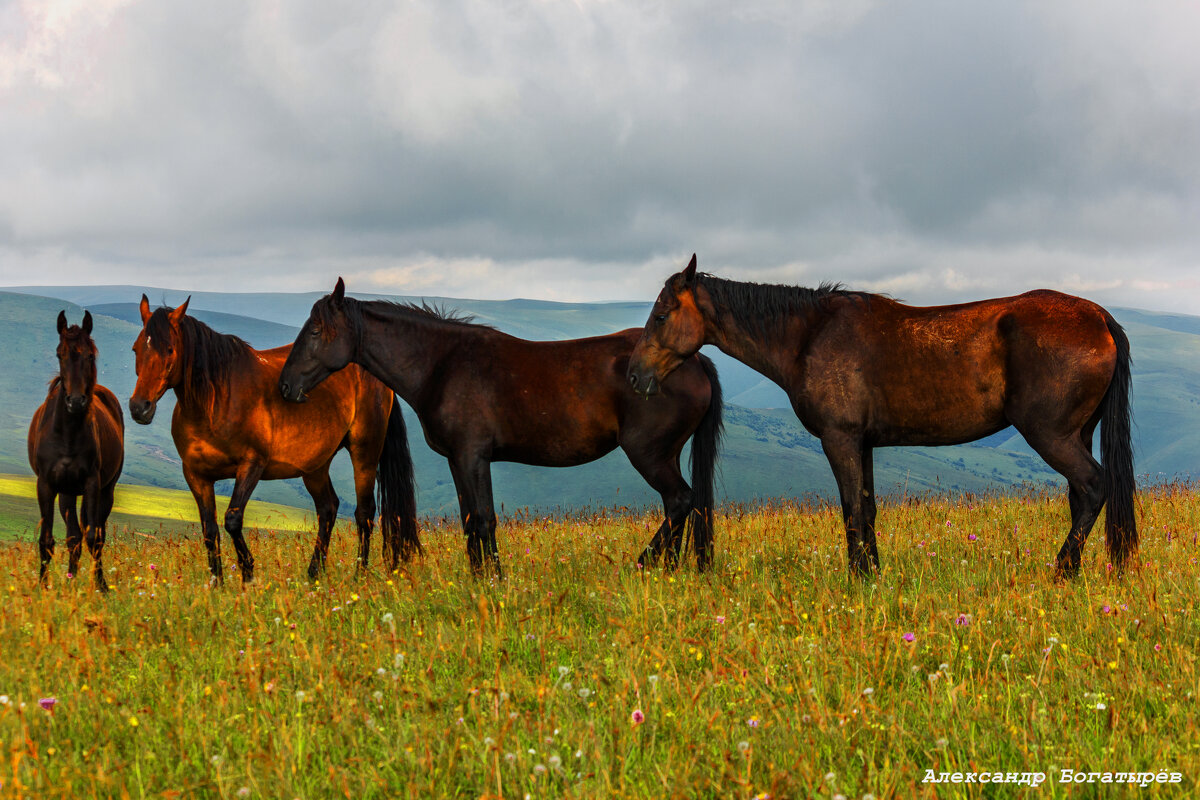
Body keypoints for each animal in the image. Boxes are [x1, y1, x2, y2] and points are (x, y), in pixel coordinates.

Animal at [27, 311, 125, 594]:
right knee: (73, 537)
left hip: (105, 491)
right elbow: (47, 540)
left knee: (94, 536)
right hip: (67, 494)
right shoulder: (46, 485)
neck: (67, 434)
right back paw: (70, 580)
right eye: (60, 354)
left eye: (90, 355)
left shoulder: (92, 484)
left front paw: (99, 587)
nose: (77, 401)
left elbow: (93, 538)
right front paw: (43, 586)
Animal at [129, 297, 420, 585]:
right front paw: (217, 585)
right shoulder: (196, 475)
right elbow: (209, 531)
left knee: (365, 512)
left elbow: (232, 519)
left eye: (169, 350)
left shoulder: (251, 465)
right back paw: (314, 573)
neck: (217, 401)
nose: (139, 407)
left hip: (365, 450)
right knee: (328, 508)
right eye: (135, 349)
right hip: (315, 466)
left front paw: (248, 573)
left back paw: (360, 575)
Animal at [278, 278, 720, 578]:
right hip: (665, 454)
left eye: (315, 332)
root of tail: (694, 360)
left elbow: (485, 517)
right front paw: (479, 578)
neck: (442, 364)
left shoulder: (473, 456)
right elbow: (470, 519)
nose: (285, 386)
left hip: (648, 454)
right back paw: (669, 569)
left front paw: (494, 578)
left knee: (679, 500)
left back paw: (643, 565)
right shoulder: (457, 460)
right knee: (681, 505)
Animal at [624, 255, 1137, 575]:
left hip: (1052, 435)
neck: (809, 335)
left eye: (661, 315)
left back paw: (1063, 570)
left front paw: (858, 579)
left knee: (1094, 486)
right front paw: (872, 574)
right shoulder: (863, 443)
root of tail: (1098, 317)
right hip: (1077, 433)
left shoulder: (840, 439)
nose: (633, 375)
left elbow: (852, 509)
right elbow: (867, 509)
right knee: (1082, 495)